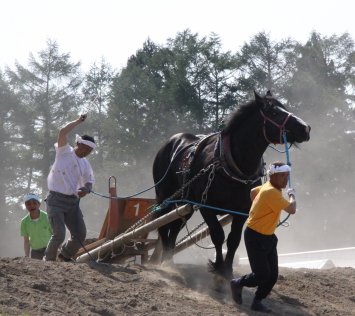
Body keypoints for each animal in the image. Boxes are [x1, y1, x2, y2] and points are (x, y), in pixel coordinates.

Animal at [153, 90, 312, 278]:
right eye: (274, 112)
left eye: (284, 107)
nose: (306, 128)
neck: (233, 165)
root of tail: (171, 142)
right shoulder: (206, 206)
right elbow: (217, 235)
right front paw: (218, 266)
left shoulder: (241, 210)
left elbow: (233, 240)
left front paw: (227, 269)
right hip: (165, 196)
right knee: (162, 225)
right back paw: (165, 262)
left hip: (186, 203)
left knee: (176, 225)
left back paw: (169, 258)